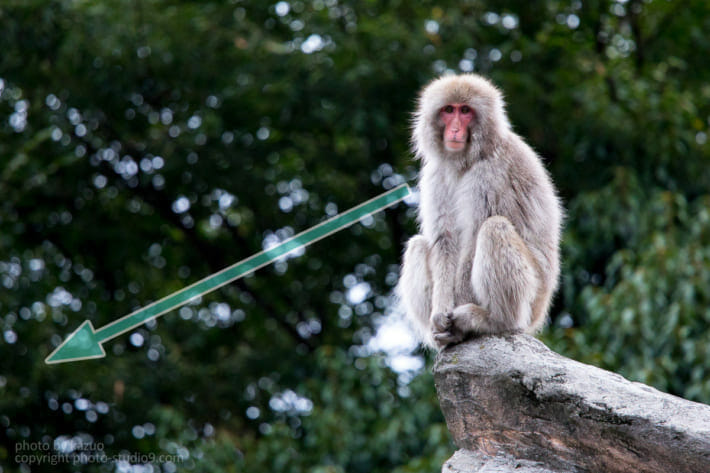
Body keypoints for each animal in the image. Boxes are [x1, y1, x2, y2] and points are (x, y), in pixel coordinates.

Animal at [400, 73, 560, 346]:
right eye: (448, 110)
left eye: (465, 111)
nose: (454, 129)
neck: (467, 160)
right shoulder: (435, 174)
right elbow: (445, 240)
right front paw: (440, 313)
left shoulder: (488, 174)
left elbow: (473, 237)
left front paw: (458, 319)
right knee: (418, 245)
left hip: (534, 299)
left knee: (494, 227)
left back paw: (493, 320)